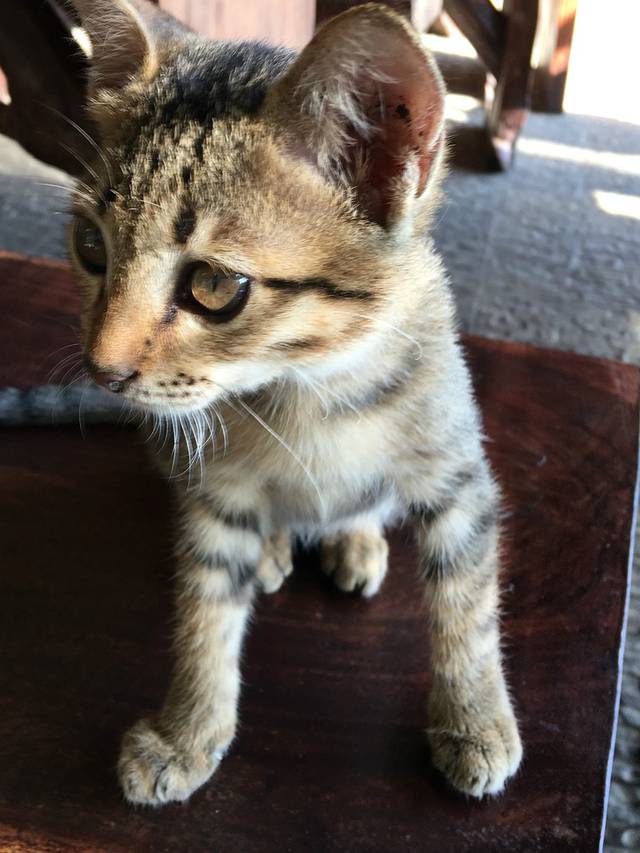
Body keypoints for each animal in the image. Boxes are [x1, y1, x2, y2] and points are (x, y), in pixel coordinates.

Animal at [68, 0, 522, 805]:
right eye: (92, 246)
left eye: (215, 286)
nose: (103, 369)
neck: (310, 391)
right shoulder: (213, 494)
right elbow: (205, 612)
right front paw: (188, 731)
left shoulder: (457, 471)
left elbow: (468, 607)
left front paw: (474, 718)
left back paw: (355, 537)